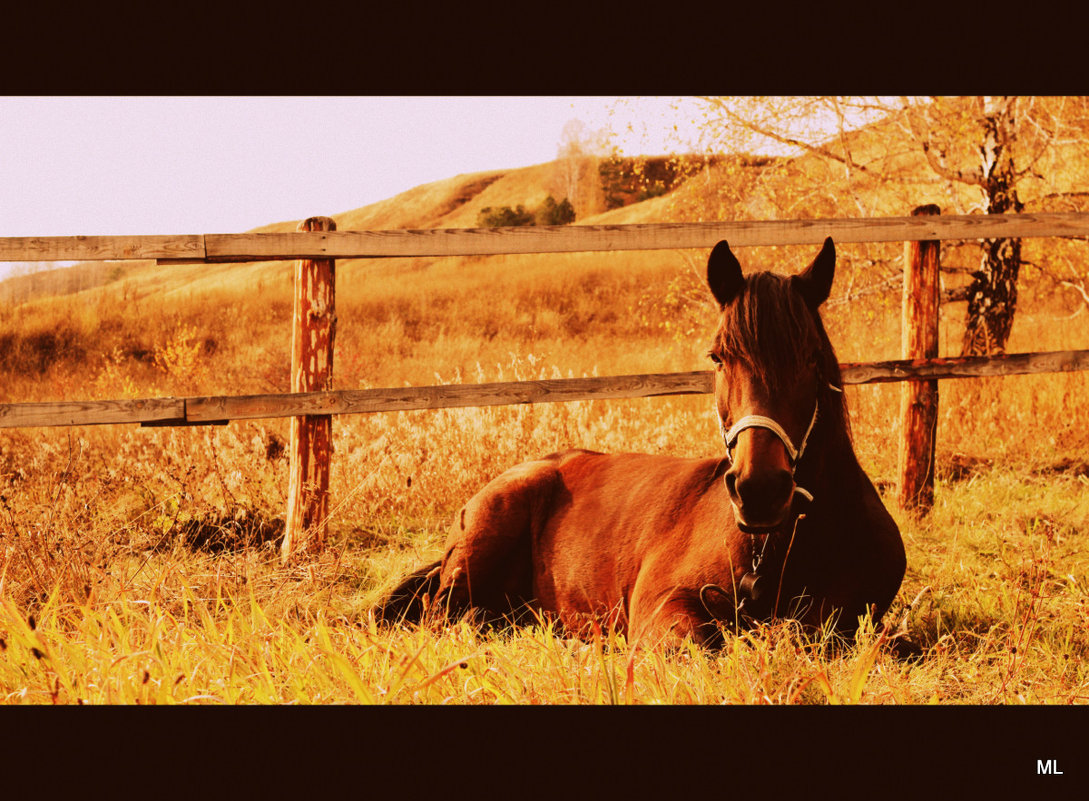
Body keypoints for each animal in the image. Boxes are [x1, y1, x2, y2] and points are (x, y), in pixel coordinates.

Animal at [378, 239, 906, 652]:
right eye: (718, 357)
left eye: (812, 358)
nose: (759, 489)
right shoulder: (662, 604)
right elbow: (697, 644)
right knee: (444, 615)